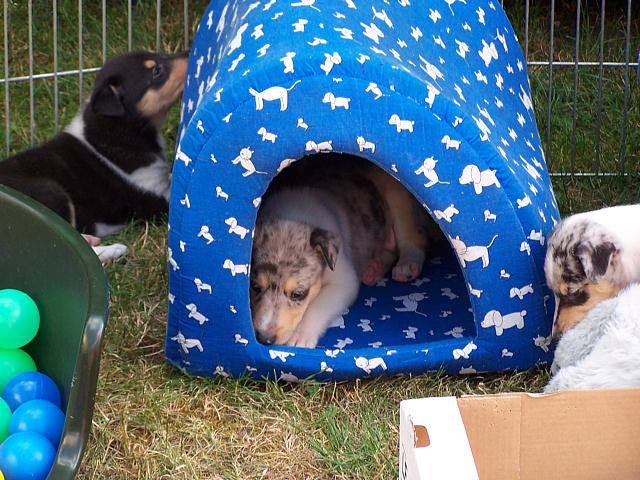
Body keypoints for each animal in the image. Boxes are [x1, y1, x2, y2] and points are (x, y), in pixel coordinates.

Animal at [249, 155, 434, 348]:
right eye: (255, 287)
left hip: (398, 199)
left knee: (414, 239)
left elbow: (317, 306)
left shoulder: (343, 279)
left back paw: (407, 265)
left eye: (298, 294)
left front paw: (300, 336)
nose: (265, 339)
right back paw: (372, 271)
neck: (291, 214)